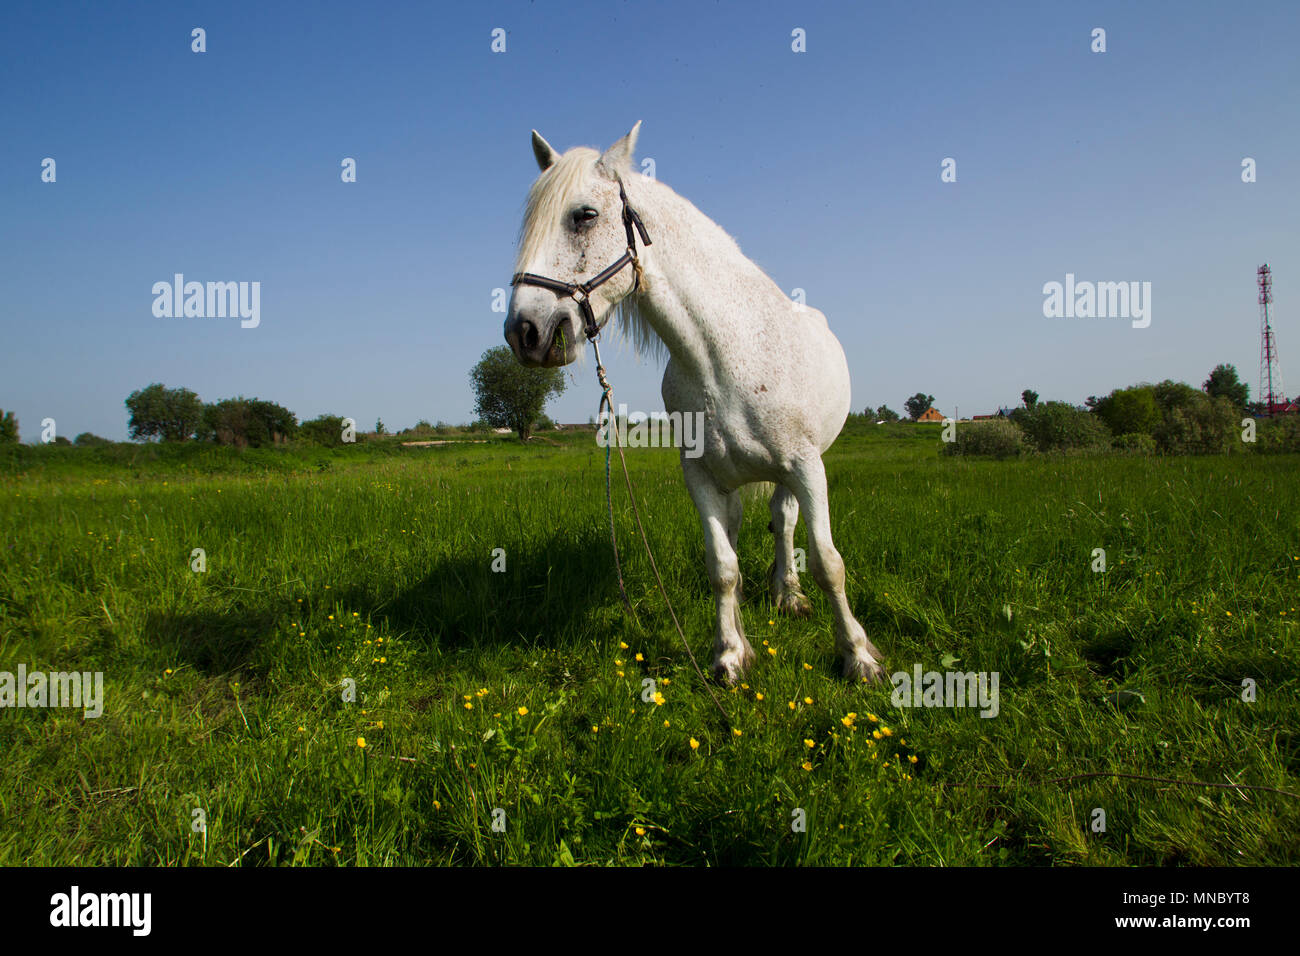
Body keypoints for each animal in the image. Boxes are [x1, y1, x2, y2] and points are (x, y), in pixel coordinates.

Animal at [501, 123, 889, 686]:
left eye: (584, 216)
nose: (525, 333)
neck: (727, 355)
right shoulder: (702, 477)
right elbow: (722, 566)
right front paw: (729, 655)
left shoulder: (807, 468)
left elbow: (827, 562)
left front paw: (858, 656)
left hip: (796, 473)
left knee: (785, 521)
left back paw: (788, 595)